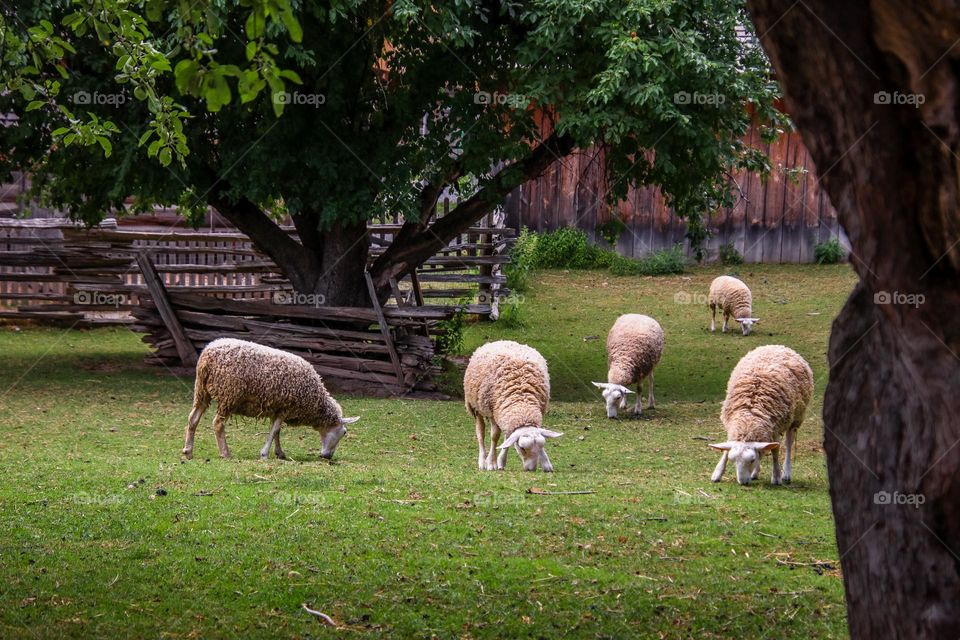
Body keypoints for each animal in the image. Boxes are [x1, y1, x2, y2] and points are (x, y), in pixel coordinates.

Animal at [181, 338, 360, 462]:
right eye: (344, 432)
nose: (327, 457)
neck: (315, 401)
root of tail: (207, 356)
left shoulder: (277, 408)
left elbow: (277, 432)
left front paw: (279, 453)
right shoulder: (286, 407)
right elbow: (274, 431)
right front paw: (264, 454)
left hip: (201, 391)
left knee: (193, 418)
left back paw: (188, 452)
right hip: (229, 394)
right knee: (218, 423)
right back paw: (225, 453)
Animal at [464, 340, 564, 470]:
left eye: (541, 446)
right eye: (522, 448)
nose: (531, 469)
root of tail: (502, 340)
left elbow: (508, 438)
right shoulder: (493, 412)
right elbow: (494, 437)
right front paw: (491, 463)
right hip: (476, 406)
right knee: (480, 433)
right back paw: (482, 461)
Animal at [708, 344, 812, 484]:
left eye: (751, 460)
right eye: (733, 461)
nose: (743, 482)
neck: (749, 419)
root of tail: (777, 346)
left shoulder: (775, 428)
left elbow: (775, 451)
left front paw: (776, 476)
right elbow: (726, 449)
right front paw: (717, 473)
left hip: (795, 418)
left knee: (788, 444)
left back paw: (786, 473)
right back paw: (755, 473)